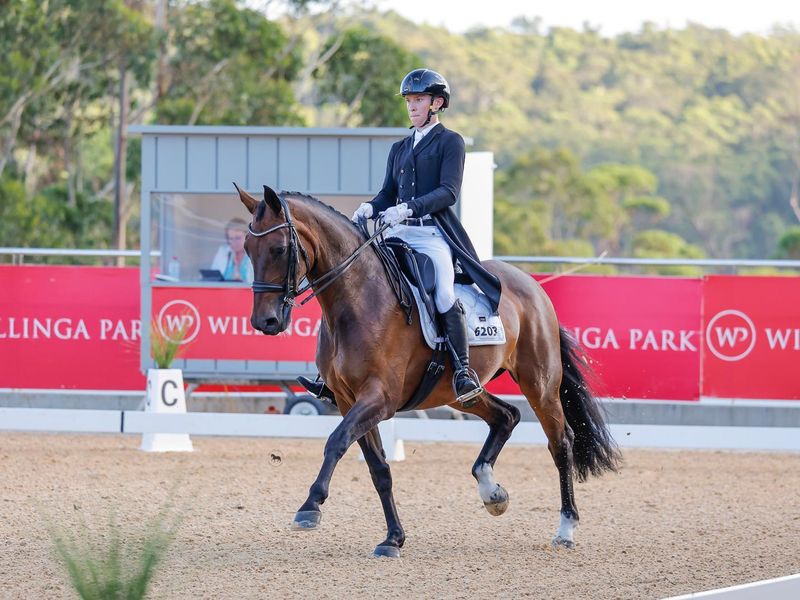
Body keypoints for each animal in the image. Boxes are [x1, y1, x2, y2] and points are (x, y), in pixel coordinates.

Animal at [235, 184, 620, 558]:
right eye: (248, 248)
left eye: (280, 248)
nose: (264, 322)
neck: (357, 298)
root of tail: (531, 284)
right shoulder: (348, 400)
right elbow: (379, 469)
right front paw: (393, 539)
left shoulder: (379, 398)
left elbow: (336, 442)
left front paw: (310, 507)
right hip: (459, 393)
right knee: (506, 416)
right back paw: (491, 491)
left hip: (539, 382)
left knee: (560, 442)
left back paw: (565, 530)